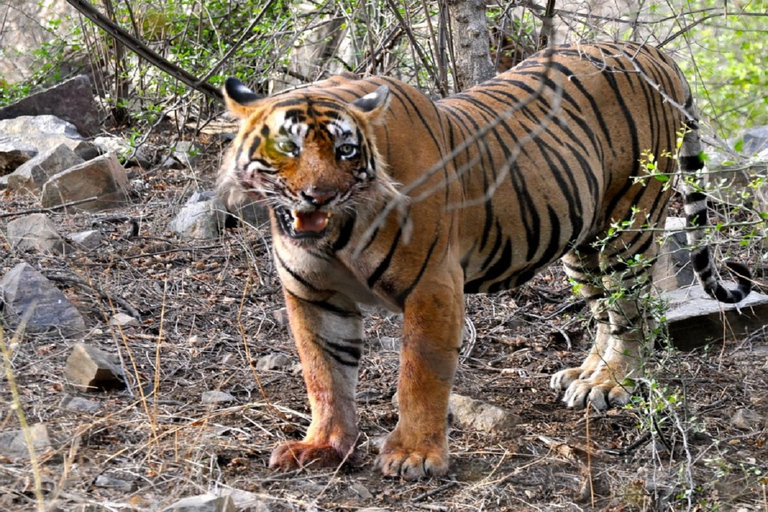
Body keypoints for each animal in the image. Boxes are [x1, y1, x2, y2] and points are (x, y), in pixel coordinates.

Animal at [216, 41, 752, 480]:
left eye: (347, 151)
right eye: (287, 148)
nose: (319, 196)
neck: (336, 233)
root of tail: (654, 53)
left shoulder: (432, 286)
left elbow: (419, 376)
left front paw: (414, 455)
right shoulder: (313, 294)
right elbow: (324, 373)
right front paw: (323, 446)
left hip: (630, 223)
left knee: (632, 313)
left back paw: (610, 382)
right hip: (583, 242)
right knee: (605, 311)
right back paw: (583, 374)